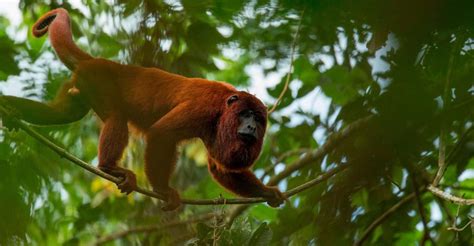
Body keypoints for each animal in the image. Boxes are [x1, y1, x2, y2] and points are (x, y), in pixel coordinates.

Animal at [0, 8, 286, 210]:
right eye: (245, 114)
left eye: (259, 119)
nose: (251, 127)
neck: (225, 105)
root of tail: (98, 61)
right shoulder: (203, 108)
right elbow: (162, 133)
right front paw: (164, 191)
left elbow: (220, 168)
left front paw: (267, 192)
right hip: (100, 80)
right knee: (116, 116)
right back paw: (109, 168)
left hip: (79, 86)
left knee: (62, 113)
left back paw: (10, 110)